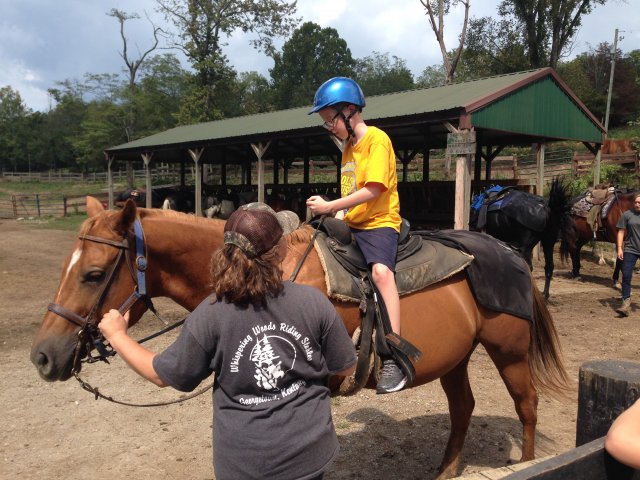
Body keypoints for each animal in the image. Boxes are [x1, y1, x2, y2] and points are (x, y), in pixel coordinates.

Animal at [32, 197, 568, 478]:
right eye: (63, 269)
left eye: (94, 274)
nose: (43, 356)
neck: (263, 276)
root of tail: (508, 252)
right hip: (455, 359)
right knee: (463, 410)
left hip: (509, 350)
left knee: (526, 405)